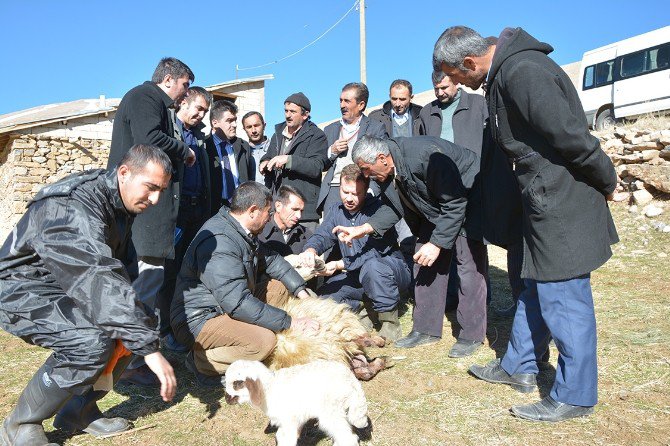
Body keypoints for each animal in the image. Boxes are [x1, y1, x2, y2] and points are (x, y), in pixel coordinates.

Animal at [227, 358, 372, 446]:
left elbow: (287, 439)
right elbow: (282, 436)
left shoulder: (288, 420)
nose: (227, 398)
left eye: (237, 383)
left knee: (348, 436)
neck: (269, 388)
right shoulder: (292, 420)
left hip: (330, 412)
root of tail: (352, 379)